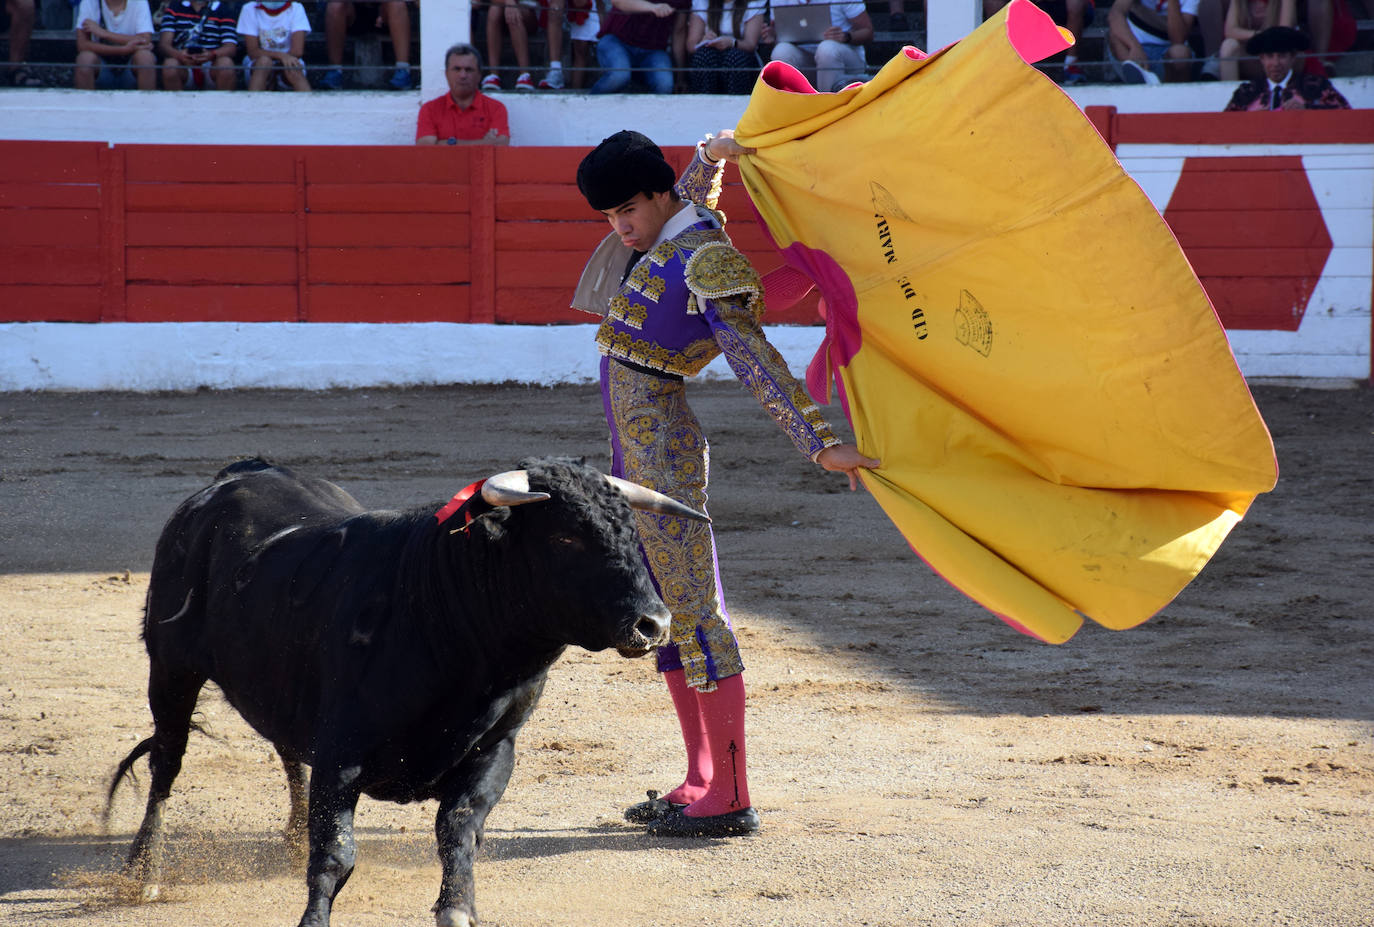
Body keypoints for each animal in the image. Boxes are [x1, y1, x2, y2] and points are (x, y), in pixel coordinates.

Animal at [107, 455, 703, 927]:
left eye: (631, 531)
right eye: (565, 536)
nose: (654, 624)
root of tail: (236, 476)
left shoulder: (495, 750)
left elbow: (458, 833)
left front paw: (457, 910)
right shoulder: (341, 754)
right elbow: (336, 854)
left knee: (284, 751)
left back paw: (290, 839)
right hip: (171, 668)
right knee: (167, 763)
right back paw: (144, 871)